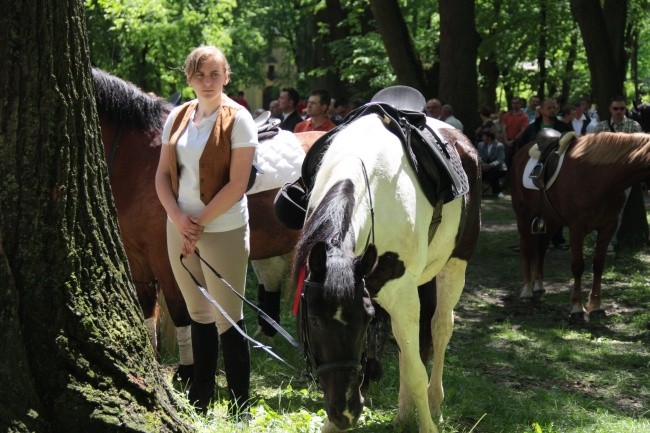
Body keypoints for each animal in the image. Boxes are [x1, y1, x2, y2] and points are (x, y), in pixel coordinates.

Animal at [92, 68, 320, 372]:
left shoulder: (166, 258)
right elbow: (147, 309)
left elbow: (180, 311)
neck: (138, 161)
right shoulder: (137, 256)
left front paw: (187, 371)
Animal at [508, 132, 644, 320]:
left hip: (552, 220)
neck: (601, 177)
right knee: (527, 249)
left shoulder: (608, 227)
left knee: (541, 248)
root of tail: (521, 151)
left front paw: (595, 306)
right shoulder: (576, 228)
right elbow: (578, 266)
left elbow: (598, 264)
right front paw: (577, 308)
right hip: (524, 216)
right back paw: (527, 291)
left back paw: (539, 286)